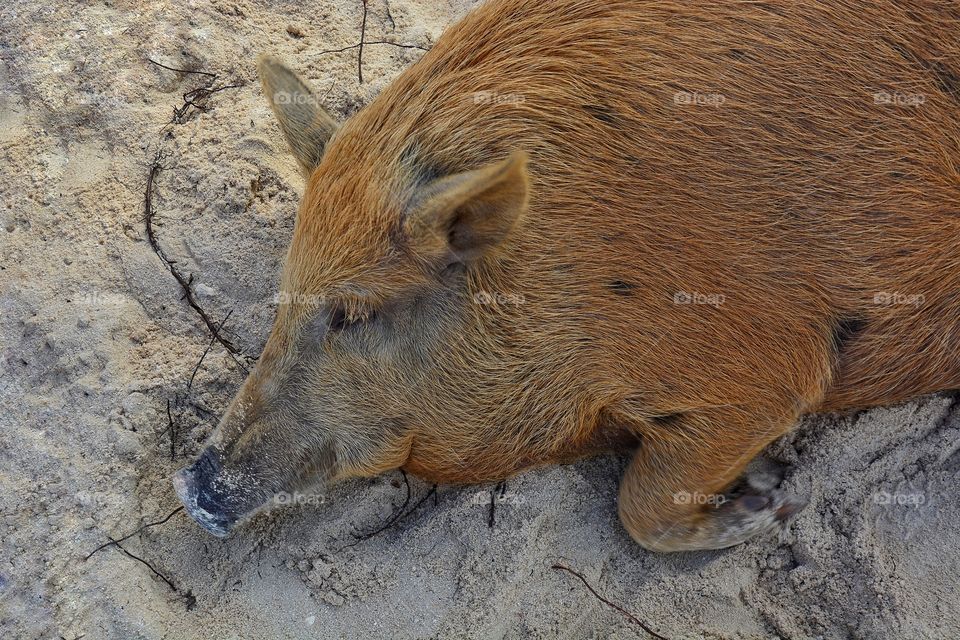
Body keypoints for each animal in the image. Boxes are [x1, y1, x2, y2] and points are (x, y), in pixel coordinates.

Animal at [172, 0, 960, 552]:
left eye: (355, 314)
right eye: (283, 295)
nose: (193, 486)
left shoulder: (767, 363)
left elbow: (642, 505)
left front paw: (778, 503)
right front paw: (768, 487)